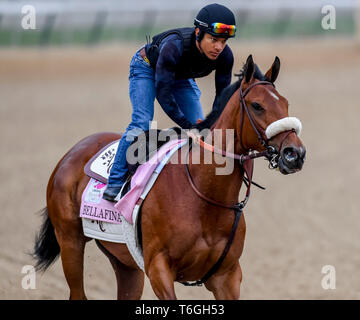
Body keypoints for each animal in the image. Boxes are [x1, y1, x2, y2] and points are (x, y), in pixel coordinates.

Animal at [32, 55, 306, 300]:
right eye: (257, 105)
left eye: (286, 104)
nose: (295, 154)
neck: (204, 195)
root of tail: (71, 154)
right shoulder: (158, 269)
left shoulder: (227, 275)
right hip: (70, 242)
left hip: (126, 264)